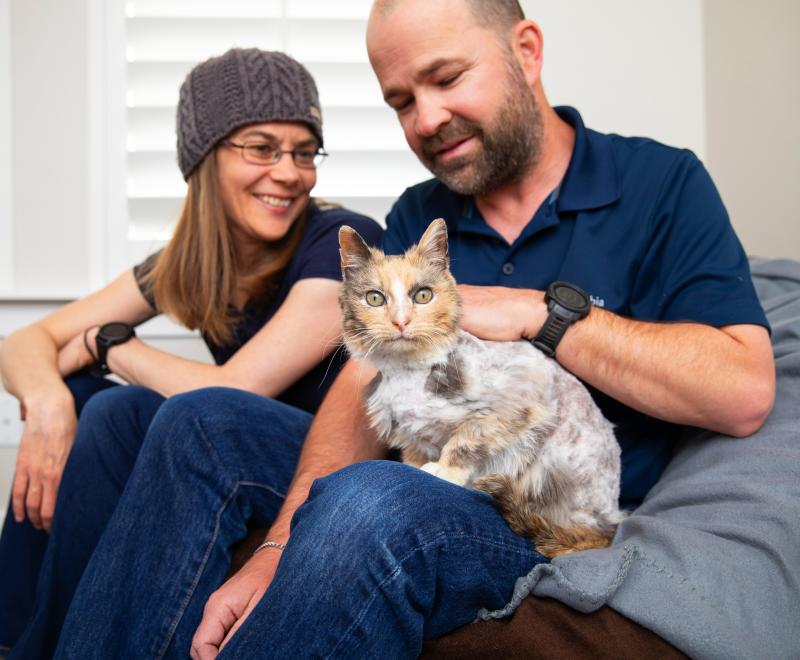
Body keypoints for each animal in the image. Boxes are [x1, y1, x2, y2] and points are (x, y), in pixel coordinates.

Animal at [338, 218, 624, 556]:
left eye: (423, 296)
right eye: (374, 298)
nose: (401, 322)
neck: (408, 374)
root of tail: (611, 525)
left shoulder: (518, 395)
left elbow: (467, 439)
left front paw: (444, 471)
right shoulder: (412, 437)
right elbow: (414, 458)